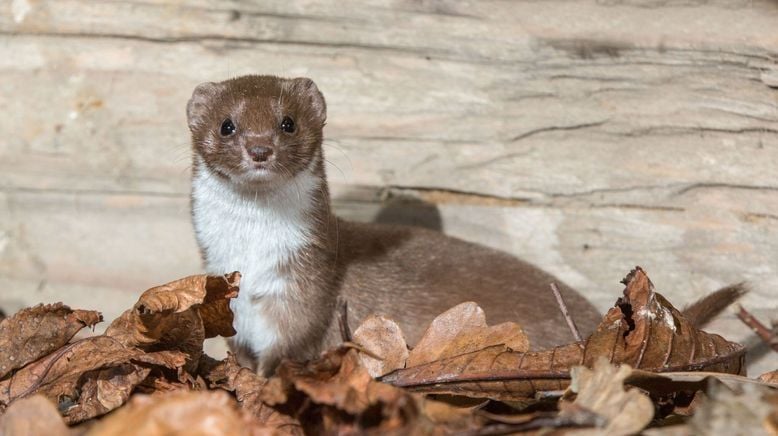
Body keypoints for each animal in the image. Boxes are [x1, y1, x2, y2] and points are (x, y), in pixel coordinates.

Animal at [188, 75, 600, 374]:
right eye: (227, 125)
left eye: (288, 122)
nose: (259, 149)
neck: (254, 257)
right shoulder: (232, 302)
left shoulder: (305, 289)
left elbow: (288, 345)